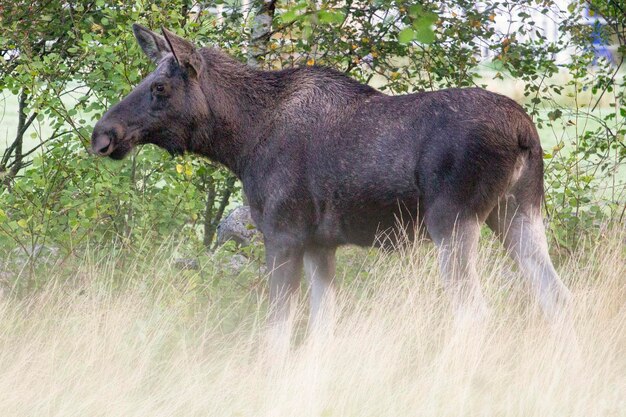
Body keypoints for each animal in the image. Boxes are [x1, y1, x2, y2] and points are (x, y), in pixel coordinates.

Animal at [91, 25, 572, 332]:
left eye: (159, 88)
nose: (102, 135)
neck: (241, 143)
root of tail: (525, 134)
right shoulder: (320, 244)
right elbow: (323, 325)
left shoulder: (283, 234)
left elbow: (278, 331)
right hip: (517, 212)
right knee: (557, 297)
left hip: (453, 221)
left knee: (475, 314)